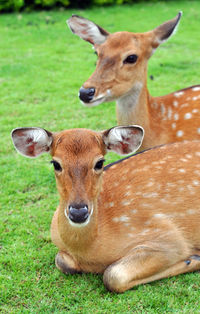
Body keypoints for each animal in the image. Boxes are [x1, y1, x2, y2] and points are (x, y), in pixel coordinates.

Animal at [11, 126, 200, 294]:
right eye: (55, 163)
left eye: (100, 162)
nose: (78, 212)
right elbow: (61, 262)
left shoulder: (168, 236)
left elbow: (112, 276)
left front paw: (193, 259)